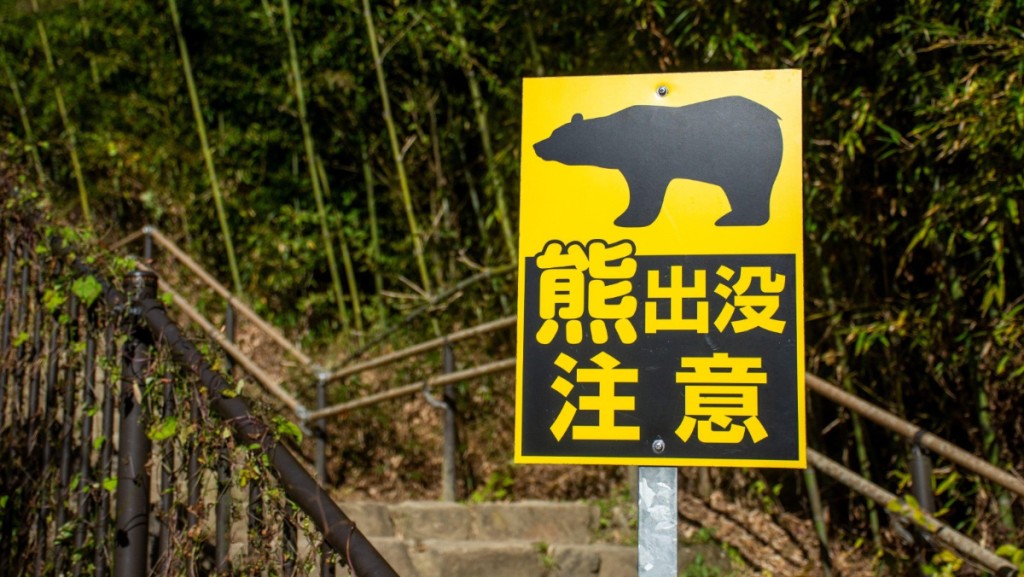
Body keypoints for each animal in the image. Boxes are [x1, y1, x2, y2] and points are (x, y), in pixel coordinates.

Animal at [532, 96, 783, 227]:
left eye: (555, 135)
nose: (536, 145)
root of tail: (774, 117)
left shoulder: (645, 160)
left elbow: (645, 191)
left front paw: (626, 219)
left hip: (747, 155)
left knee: (749, 188)